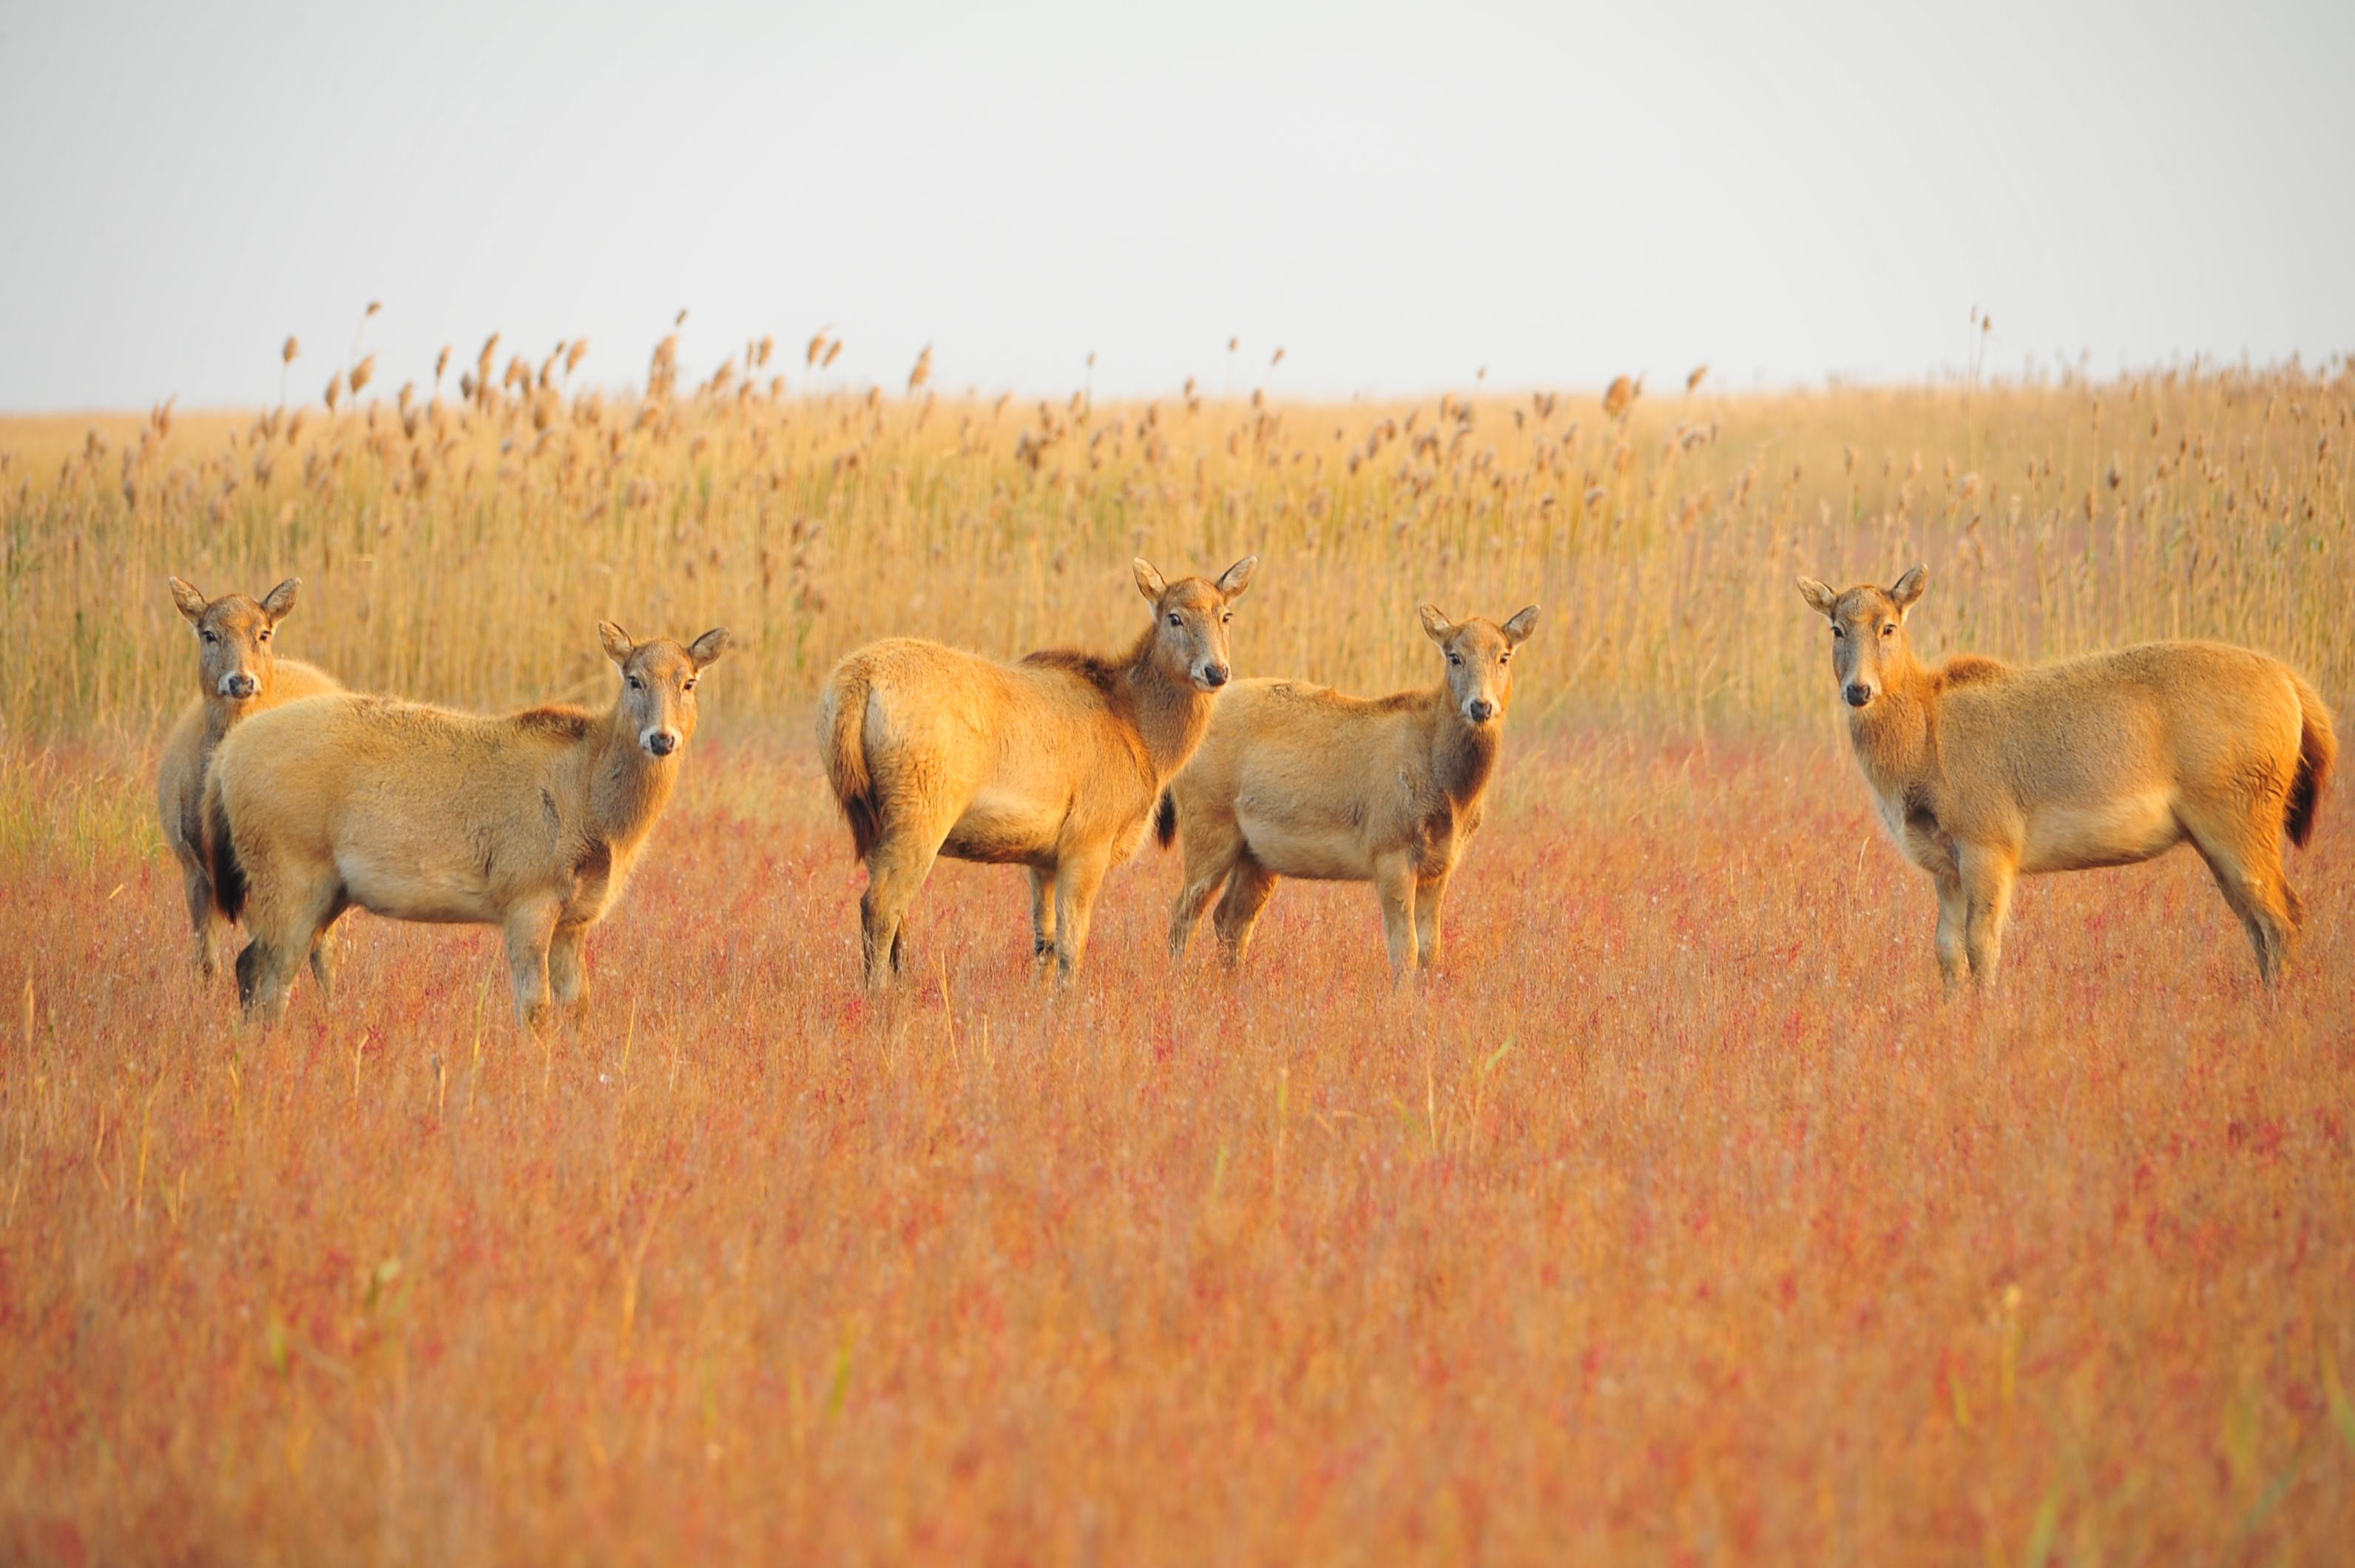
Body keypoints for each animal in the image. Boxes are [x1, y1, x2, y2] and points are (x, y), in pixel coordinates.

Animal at [828, 555, 1271, 984]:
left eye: (1225, 615)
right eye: (1174, 617)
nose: (1216, 671)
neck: (1142, 736)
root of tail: (853, 683)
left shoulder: (1042, 857)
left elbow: (1045, 941)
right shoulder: (1089, 837)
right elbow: (1073, 946)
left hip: (873, 817)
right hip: (922, 808)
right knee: (880, 906)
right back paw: (880, 995)